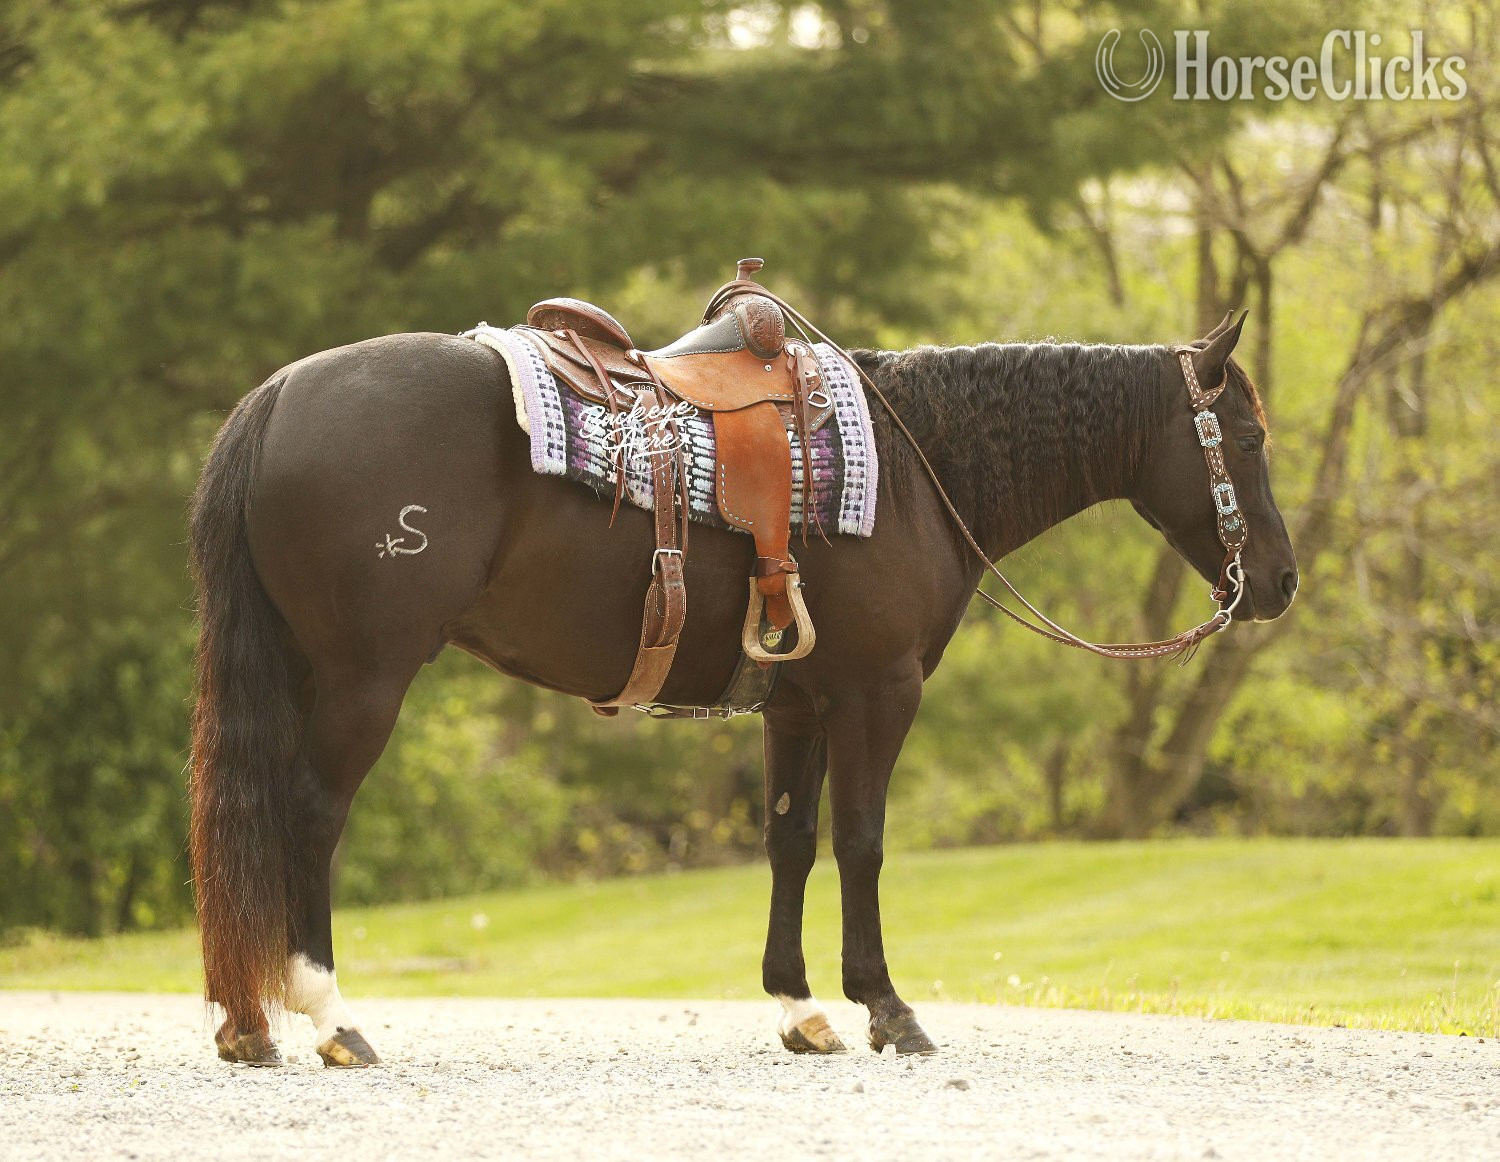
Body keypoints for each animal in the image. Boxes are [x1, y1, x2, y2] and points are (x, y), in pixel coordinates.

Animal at [188, 308, 1297, 1066]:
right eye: (1247, 440)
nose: (1282, 582)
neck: (917, 465)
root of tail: (277, 395)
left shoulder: (798, 707)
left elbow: (788, 841)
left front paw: (800, 1008)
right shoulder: (878, 694)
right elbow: (861, 842)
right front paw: (887, 1008)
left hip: (296, 668)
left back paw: (247, 1025)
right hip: (364, 676)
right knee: (310, 816)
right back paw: (333, 1018)